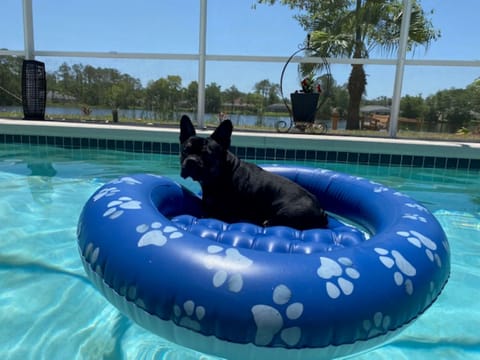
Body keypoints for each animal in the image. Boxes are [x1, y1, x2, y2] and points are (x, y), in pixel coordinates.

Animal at [178, 114, 328, 229]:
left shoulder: (224, 214)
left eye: (207, 154)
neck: (221, 174)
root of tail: (320, 210)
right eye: (185, 151)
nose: (191, 161)